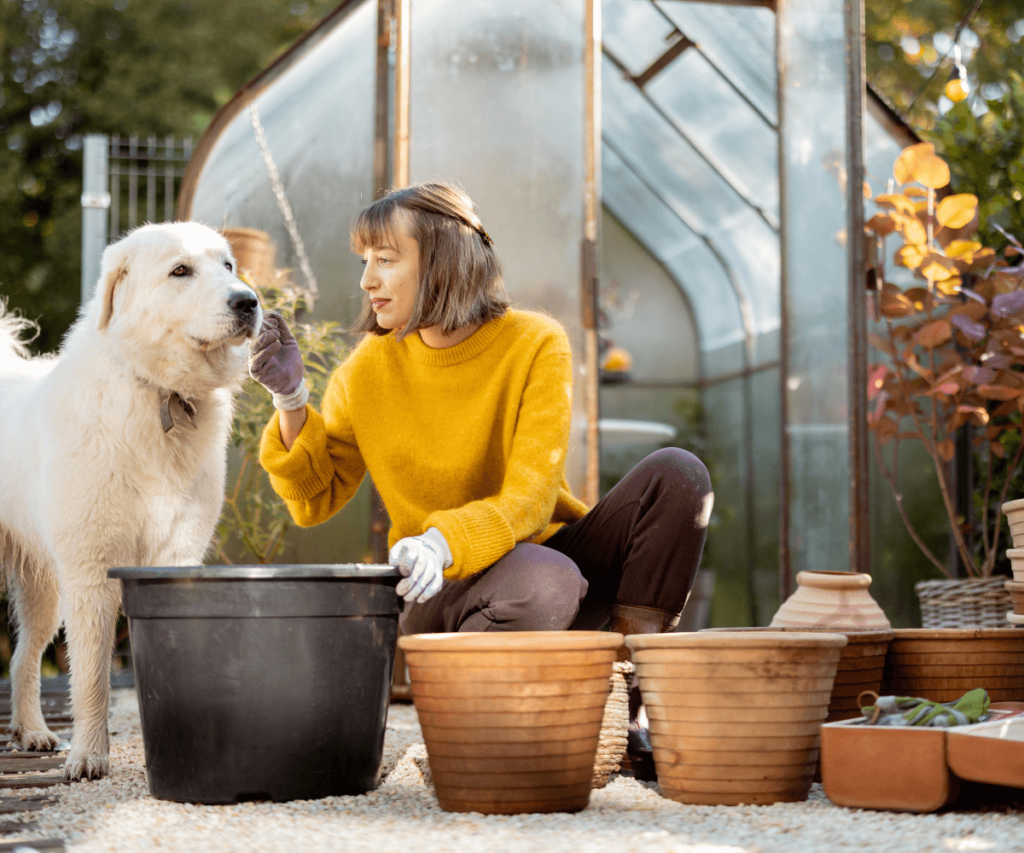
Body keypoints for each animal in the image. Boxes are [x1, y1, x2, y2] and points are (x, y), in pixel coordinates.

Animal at [0, 219, 260, 778]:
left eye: (228, 265)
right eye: (180, 270)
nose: (248, 301)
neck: (158, 394)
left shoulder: (174, 558)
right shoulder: (91, 572)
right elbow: (91, 677)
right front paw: (89, 757)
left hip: (44, 586)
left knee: (23, 656)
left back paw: (31, 731)